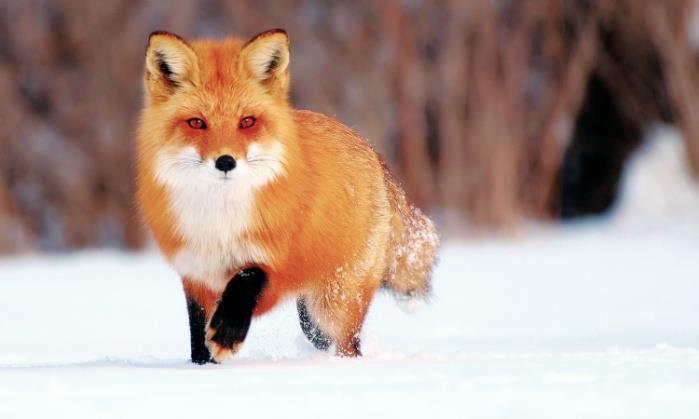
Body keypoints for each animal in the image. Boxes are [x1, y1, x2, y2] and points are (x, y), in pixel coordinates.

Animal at [135, 29, 438, 364]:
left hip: (332, 307)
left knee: (349, 345)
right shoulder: (196, 274)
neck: (220, 223)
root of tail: (371, 150)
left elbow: (246, 280)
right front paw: (203, 367)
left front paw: (227, 334)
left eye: (247, 122)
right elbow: (198, 338)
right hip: (312, 320)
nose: (226, 162)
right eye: (197, 123)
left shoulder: (277, 262)